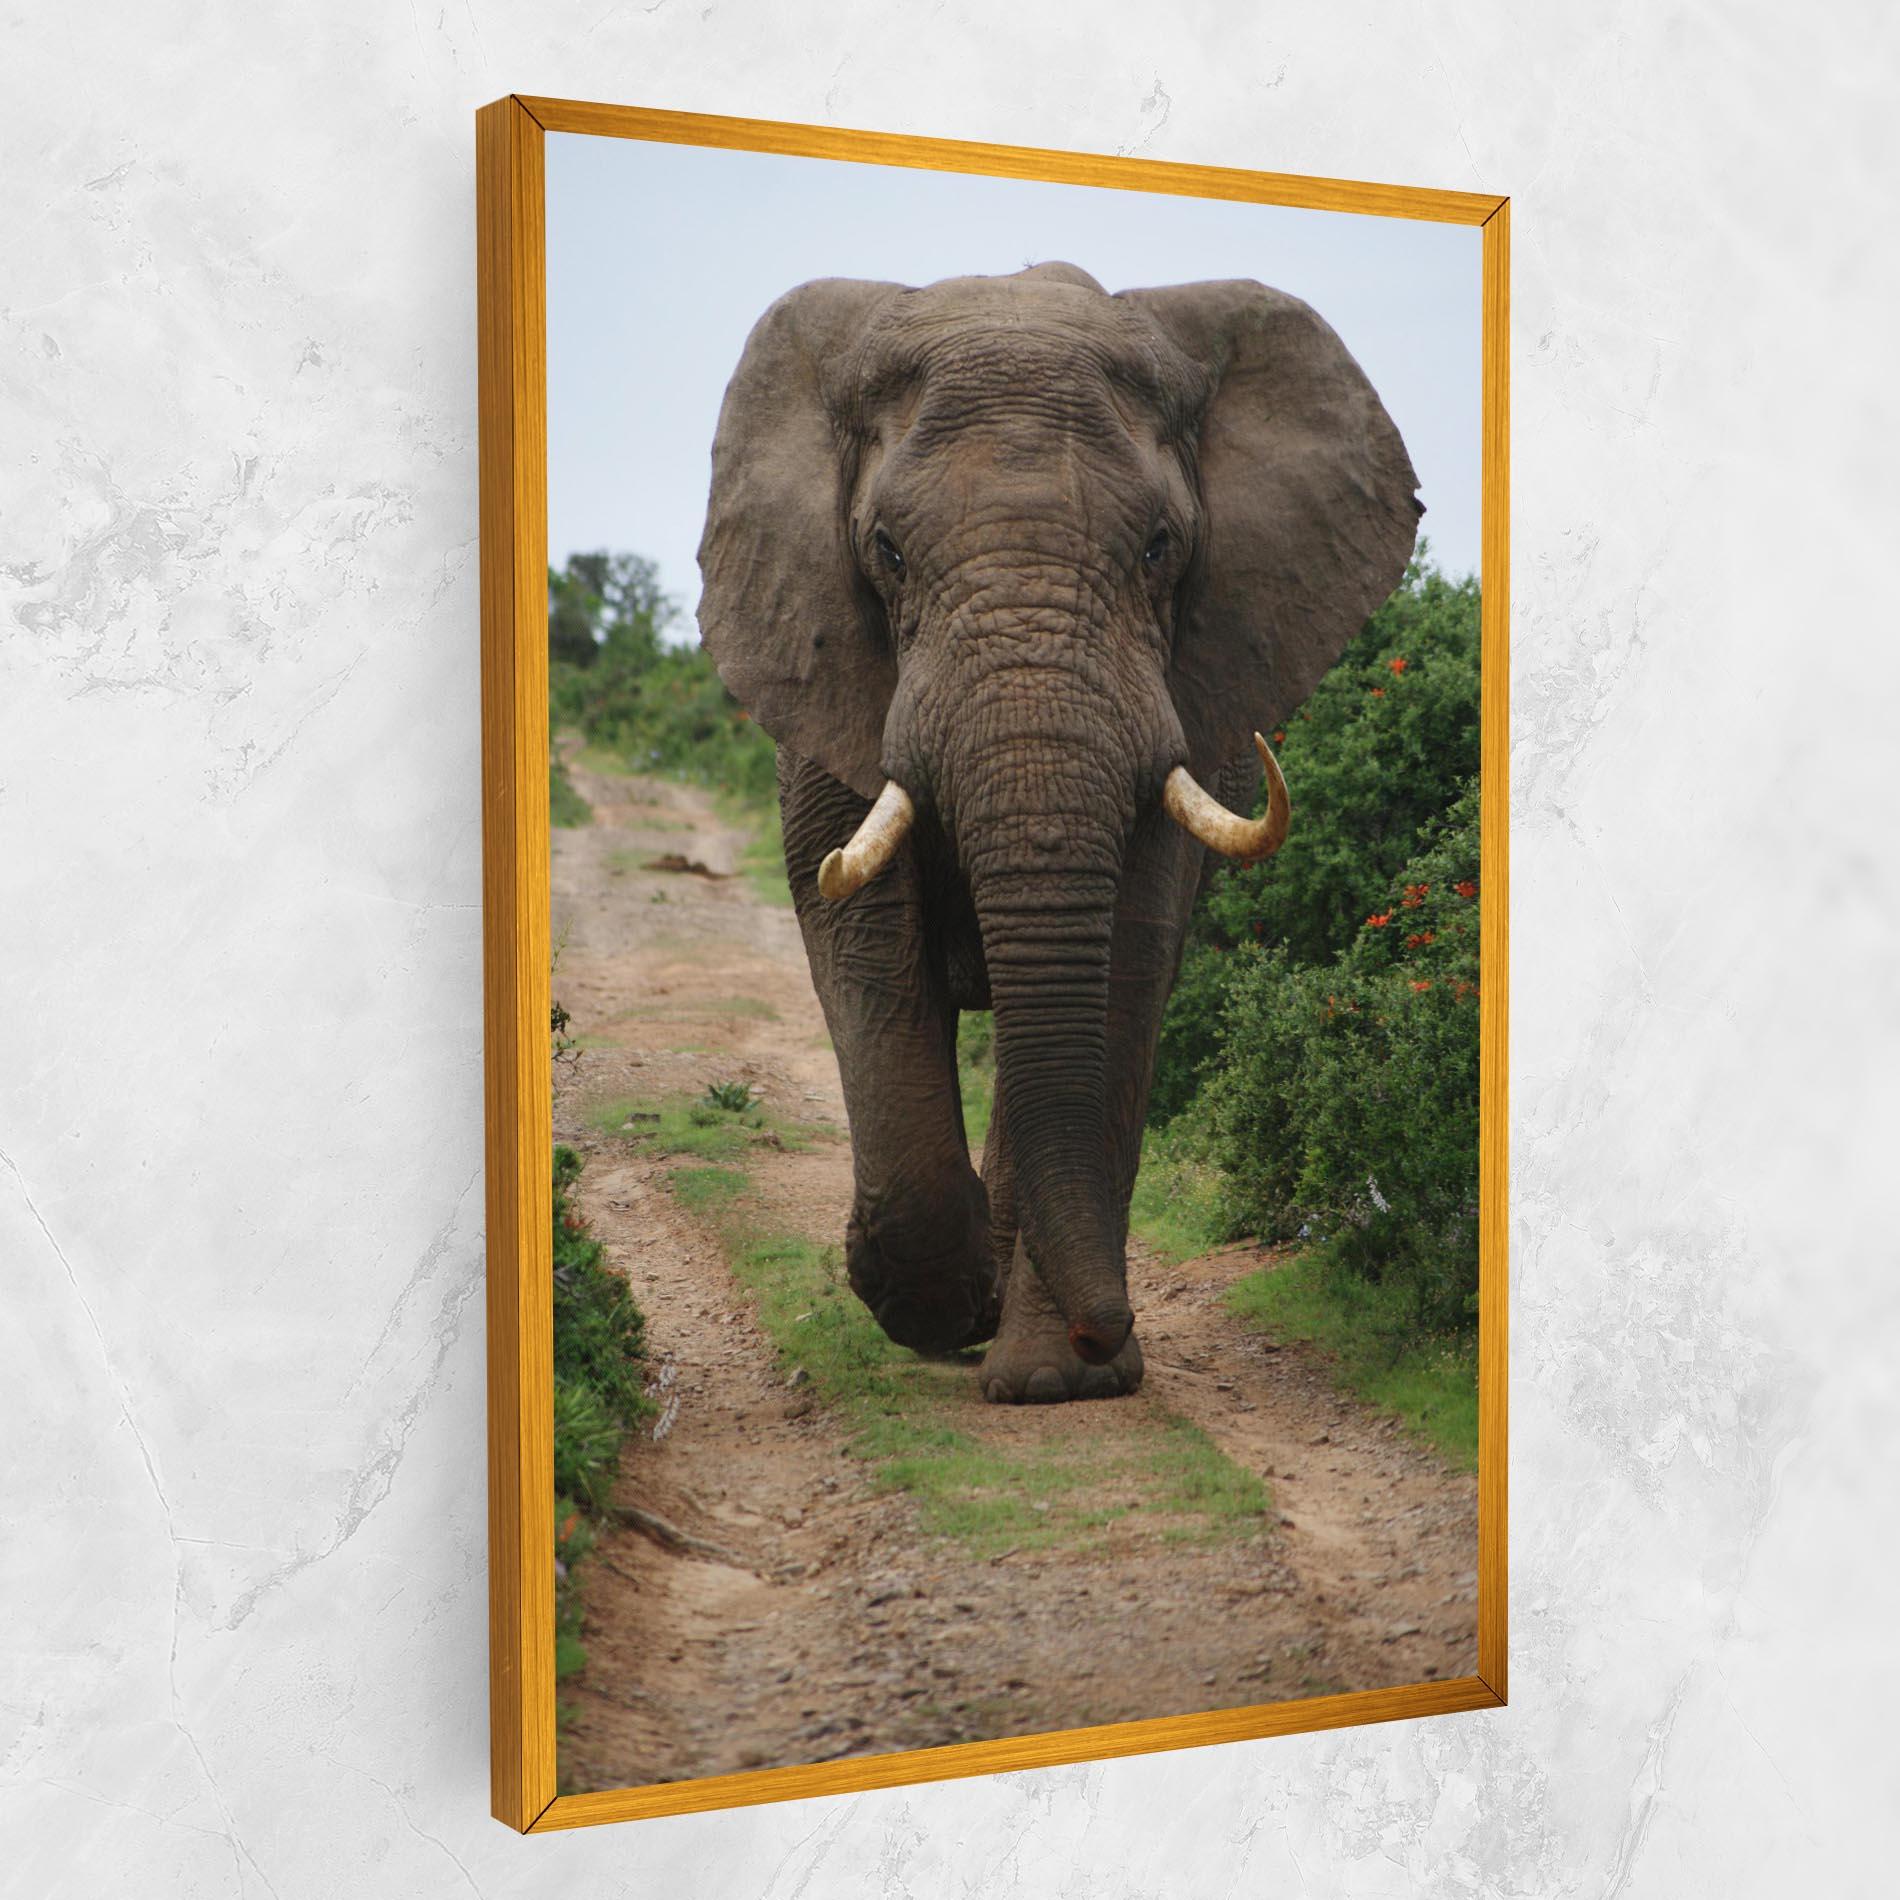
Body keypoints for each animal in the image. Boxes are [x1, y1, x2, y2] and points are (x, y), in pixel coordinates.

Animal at [697, 262, 1419, 1404]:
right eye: (885, 551)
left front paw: (1053, 1380)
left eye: (1162, 547)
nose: (1105, 1328)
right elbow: (861, 940)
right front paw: (935, 1305)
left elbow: (1124, 959)